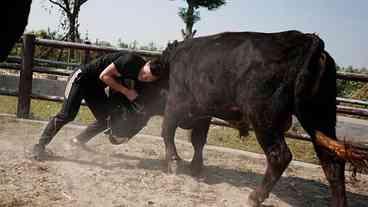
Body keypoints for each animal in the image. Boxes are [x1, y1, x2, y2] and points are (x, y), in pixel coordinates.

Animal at [110, 30, 368, 205]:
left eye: (129, 107)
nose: (111, 137)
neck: (169, 68)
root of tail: (307, 40)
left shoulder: (175, 104)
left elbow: (167, 132)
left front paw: (174, 162)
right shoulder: (203, 113)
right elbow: (198, 140)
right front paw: (196, 167)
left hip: (264, 119)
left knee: (280, 156)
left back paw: (255, 196)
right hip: (320, 117)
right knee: (332, 162)